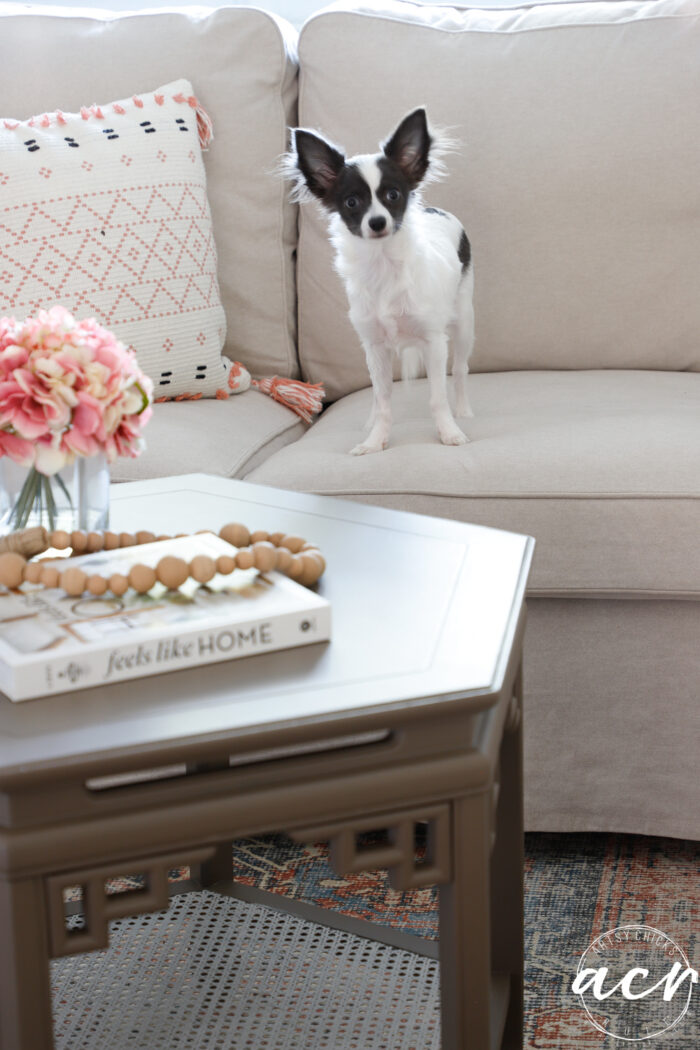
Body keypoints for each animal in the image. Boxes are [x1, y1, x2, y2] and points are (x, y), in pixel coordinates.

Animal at [285, 108, 476, 457]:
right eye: (351, 203)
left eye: (393, 195)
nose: (376, 222)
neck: (383, 263)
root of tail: (435, 210)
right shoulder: (374, 347)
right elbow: (383, 399)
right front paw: (375, 440)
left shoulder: (434, 342)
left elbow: (438, 396)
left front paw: (449, 432)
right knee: (377, 393)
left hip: (464, 324)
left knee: (460, 370)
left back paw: (464, 411)